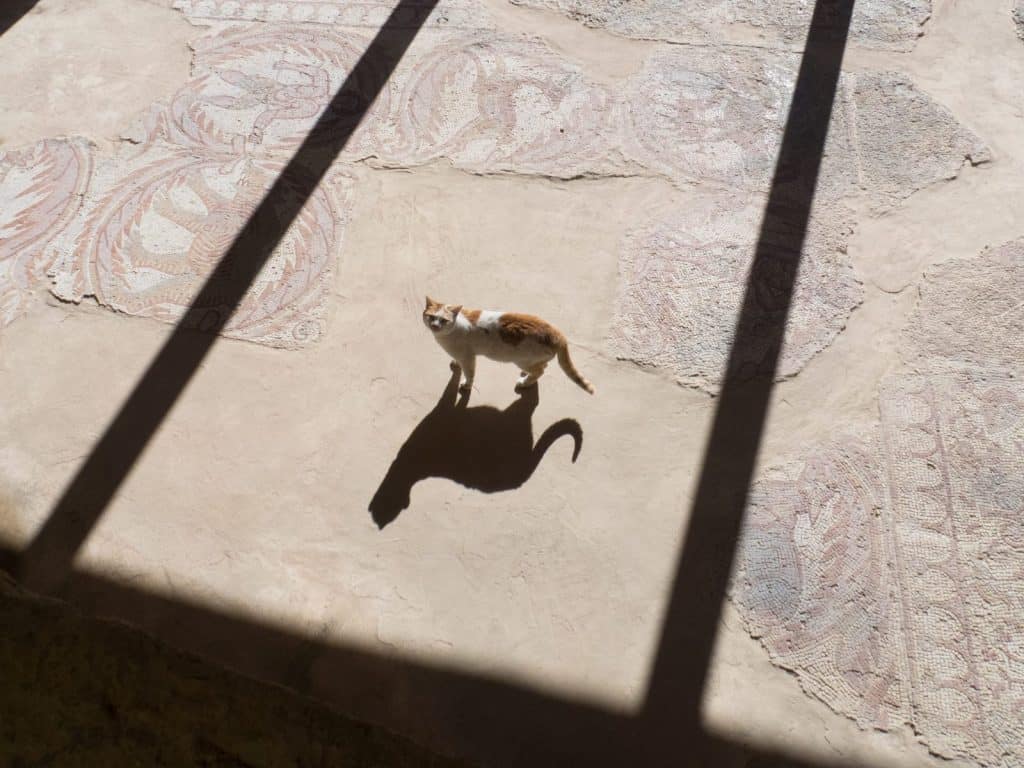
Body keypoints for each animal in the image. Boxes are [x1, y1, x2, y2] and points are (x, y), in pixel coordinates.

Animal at [421, 296, 598, 397]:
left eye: (444, 320)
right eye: (430, 317)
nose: (435, 326)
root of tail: (557, 332)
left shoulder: (468, 358)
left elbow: (469, 374)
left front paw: (466, 385)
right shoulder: (462, 356)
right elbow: (457, 361)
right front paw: (455, 363)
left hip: (521, 360)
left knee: (541, 370)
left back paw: (525, 382)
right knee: (543, 365)